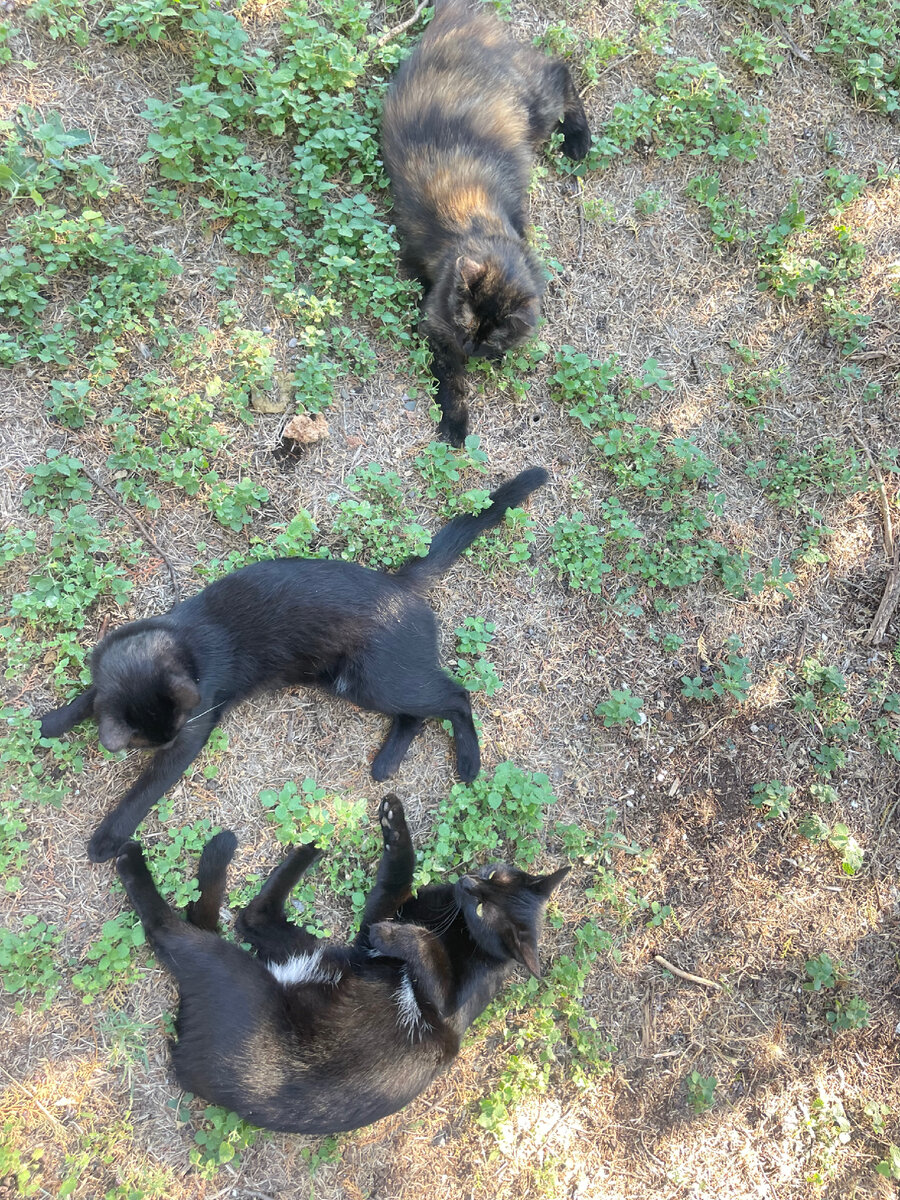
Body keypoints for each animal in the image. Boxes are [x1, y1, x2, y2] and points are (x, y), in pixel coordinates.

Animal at [37, 463, 549, 859]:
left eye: (170, 738)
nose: (169, 738)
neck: (180, 641)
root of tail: (400, 583)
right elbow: (88, 698)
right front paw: (53, 722)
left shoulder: (193, 731)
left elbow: (145, 790)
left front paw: (108, 837)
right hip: (358, 683)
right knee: (417, 714)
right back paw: (386, 762)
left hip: (377, 678)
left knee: (456, 696)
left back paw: (469, 761)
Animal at [116, 796, 571, 1132]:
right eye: (492, 875)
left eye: (481, 907)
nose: (467, 882)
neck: (455, 924)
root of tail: (186, 1064)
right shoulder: (385, 910)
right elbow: (399, 873)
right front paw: (394, 822)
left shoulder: (444, 1010)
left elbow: (422, 942)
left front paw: (393, 935)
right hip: (300, 949)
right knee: (249, 915)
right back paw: (308, 847)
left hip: (233, 969)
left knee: (171, 928)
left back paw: (131, 858)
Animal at [381, 0, 592, 446]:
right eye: (467, 324)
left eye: (491, 334)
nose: (470, 346)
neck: (483, 232)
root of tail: (454, 15)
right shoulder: (436, 328)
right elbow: (451, 381)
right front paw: (456, 424)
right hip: (536, 107)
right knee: (560, 70)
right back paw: (579, 140)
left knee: (560, 71)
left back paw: (578, 141)